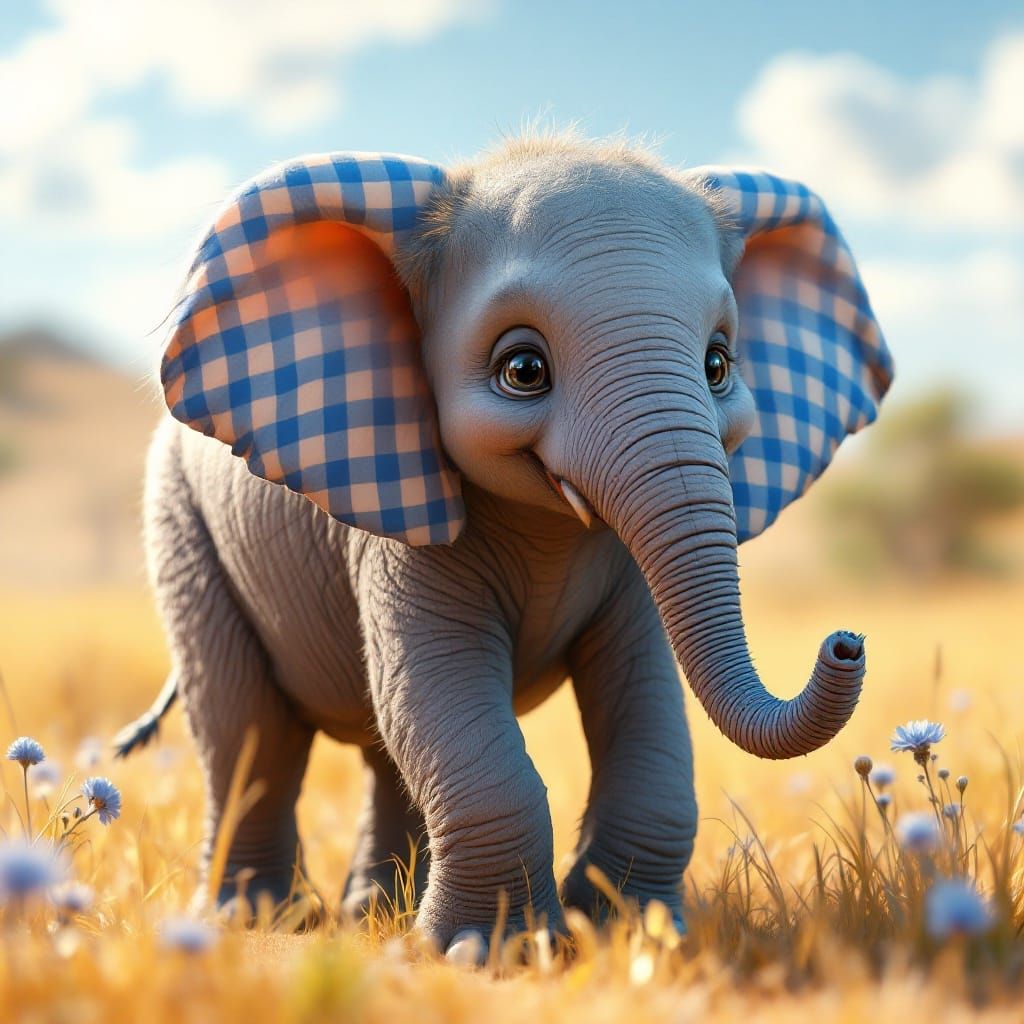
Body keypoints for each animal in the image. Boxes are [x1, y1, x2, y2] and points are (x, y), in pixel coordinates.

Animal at [115, 133, 893, 957]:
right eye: (523, 370)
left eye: (717, 366)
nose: (846, 642)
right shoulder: (399, 533)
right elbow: (444, 691)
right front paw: (495, 955)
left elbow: (646, 702)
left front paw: (634, 936)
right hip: (181, 527)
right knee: (252, 736)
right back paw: (259, 920)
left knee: (379, 751)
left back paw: (372, 916)